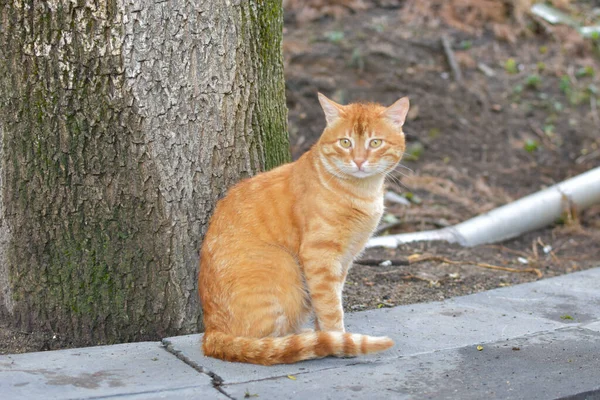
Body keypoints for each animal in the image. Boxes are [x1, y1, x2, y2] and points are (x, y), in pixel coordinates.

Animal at [199, 91, 410, 366]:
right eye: (345, 142)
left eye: (375, 143)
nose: (359, 161)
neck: (361, 192)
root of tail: (210, 332)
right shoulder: (319, 255)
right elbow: (331, 307)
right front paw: (339, 342)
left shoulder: (344, 260)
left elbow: (328, 302)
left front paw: (329, 337)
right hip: (285, 268)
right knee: (265, 343)